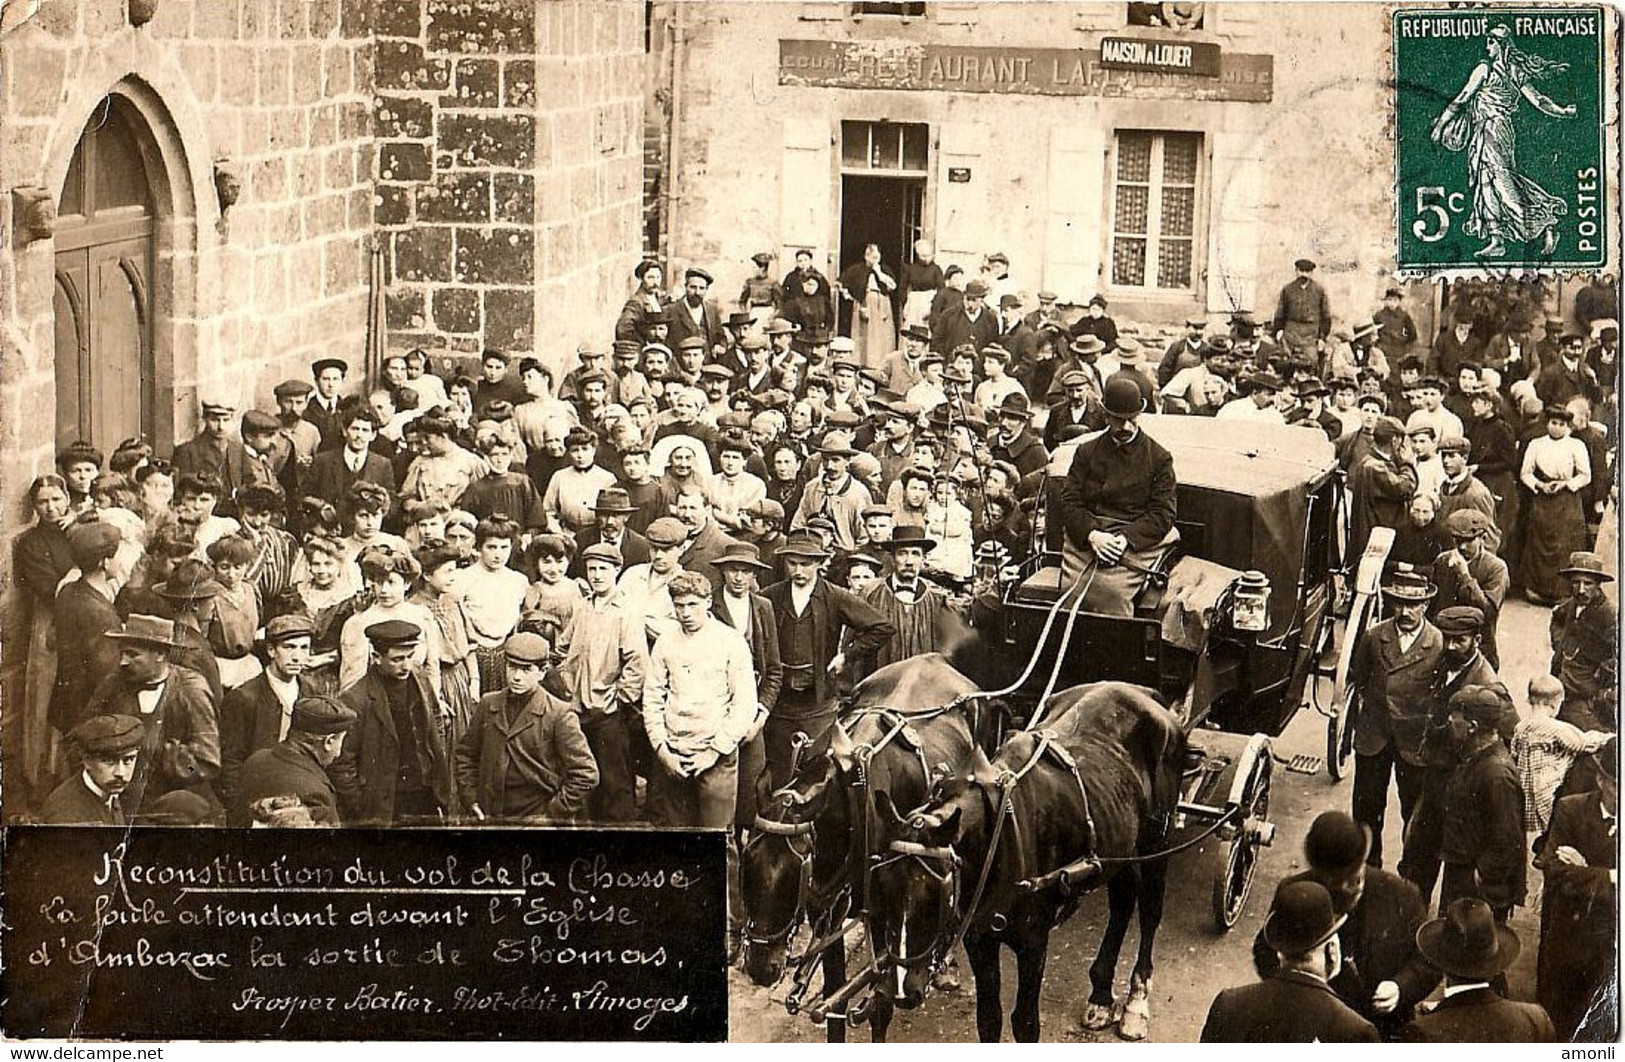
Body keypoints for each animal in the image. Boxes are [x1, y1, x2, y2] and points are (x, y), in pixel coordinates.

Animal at [741, 652, 988, 1045]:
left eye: (794, 875)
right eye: (747, 865)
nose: (761, 968)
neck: (854, 800)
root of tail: (936, 658)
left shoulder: (889, 913)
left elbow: (881, 1002)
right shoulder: (829, 915)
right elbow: (834, 1001)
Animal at [871, 685, 1189, 1045]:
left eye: (935, 895)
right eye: (881, 888)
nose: (901, 990)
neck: (996, 836)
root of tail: (1146, 694)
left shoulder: (1033, 943)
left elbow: (1024, 1023)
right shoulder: (978, 939)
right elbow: (989, 1019)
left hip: (1156, 843)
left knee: (1149, 912)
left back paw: (1136, 1003)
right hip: (1119, 848)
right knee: (1123, 902)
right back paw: (1101, 996)